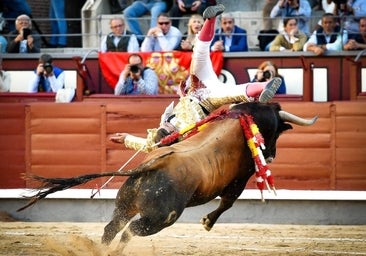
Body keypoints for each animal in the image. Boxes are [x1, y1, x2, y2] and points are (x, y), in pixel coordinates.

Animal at [18, 102, 318, 254]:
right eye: (277, 132)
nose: (271, 156)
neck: (239, 119)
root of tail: (147, 167)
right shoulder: (238, 181)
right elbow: (228, 203)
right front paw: (207, 222)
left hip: (125, 204)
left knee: (113, 227)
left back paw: (100, 251)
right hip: (162, 218)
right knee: (130, 231)